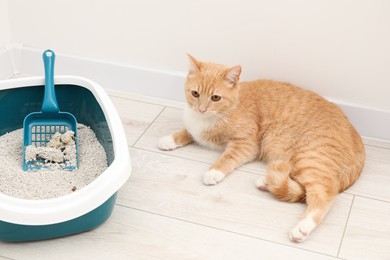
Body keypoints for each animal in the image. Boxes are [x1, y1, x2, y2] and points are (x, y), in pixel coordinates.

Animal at [157, 54, 364, 242]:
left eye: (215, 97)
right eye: (195, 94)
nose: (201, 109)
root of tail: (359, 143)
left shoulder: (247, 143)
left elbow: (227, 157)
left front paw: (214, 172)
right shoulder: (195, 129)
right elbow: (186, 133)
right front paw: (169, 139)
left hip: (312, 158)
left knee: (323, 194)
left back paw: (302, 228)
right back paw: (266, 182)